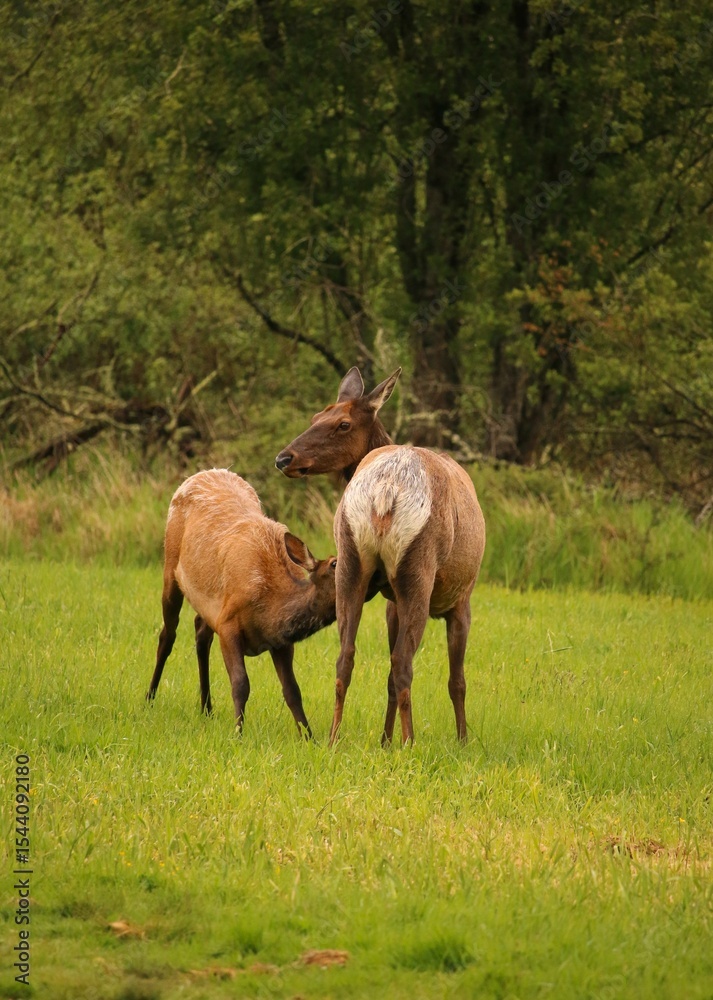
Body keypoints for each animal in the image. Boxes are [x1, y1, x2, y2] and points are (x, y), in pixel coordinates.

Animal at [146, 468, 338, 737]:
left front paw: (308, 736)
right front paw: (238, 733)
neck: (270, 609)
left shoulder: (281, 642)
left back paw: (206, 708)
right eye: (334, 563)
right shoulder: (229, 624)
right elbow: (240, 683)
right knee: (167, 635)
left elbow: (292, 690)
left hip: (208, 605)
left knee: (200, 631)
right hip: (170, 569)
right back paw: (150, 698)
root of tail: (200, 473)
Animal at [275, 367, 486, 746]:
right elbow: (457, 681)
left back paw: (334, 738)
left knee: (345, 657)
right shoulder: (462, 598)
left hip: (350, 560)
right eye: (316, 418)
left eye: (342, 423)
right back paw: (409, 743)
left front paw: (384, 740)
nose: (284, 458)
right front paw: (462, 741)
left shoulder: (389, 600)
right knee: (404, 663)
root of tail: (386, 488)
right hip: (417, 570)